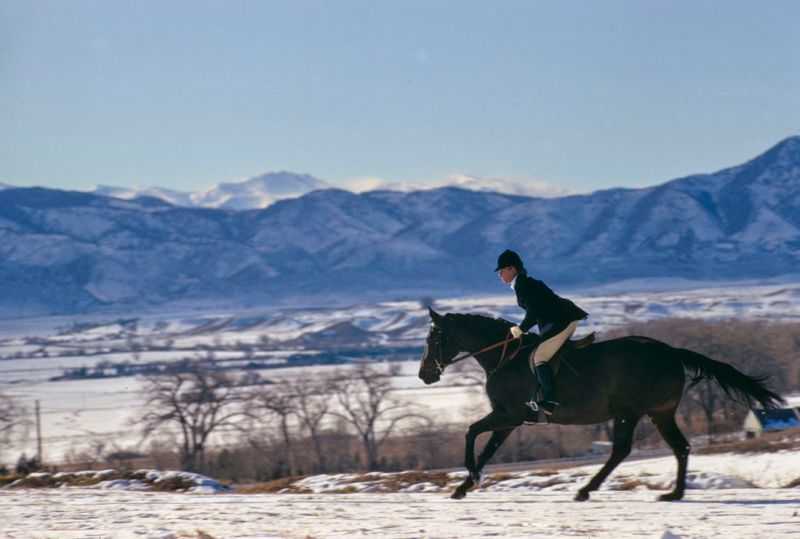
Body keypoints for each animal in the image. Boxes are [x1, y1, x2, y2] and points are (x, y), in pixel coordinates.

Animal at [418, 308, 784, 501]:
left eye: (433, 338)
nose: (424, 375)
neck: (504, 357)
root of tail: (670, 352)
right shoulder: (510, 420)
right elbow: (487, 448)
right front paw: (466, 485)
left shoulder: (509, 414)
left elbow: (471, 433)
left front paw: (468, 479)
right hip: (660, 413)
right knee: (680, 447)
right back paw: (673, 494)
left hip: (629, 412)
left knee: (621, 450)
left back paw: (586, 489)